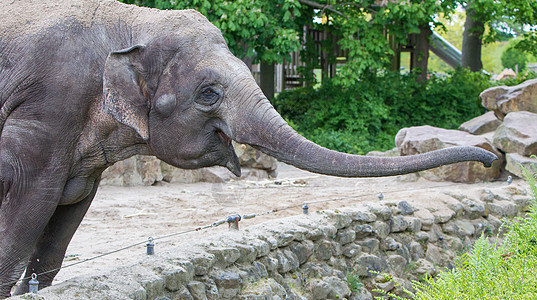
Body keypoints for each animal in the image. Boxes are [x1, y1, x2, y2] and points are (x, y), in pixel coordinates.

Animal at [0, 0, 496, 296]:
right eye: (208, 94)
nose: (492, 158)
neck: (132, 20)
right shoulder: (49, 107)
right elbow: (28, 206)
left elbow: (66, 218)